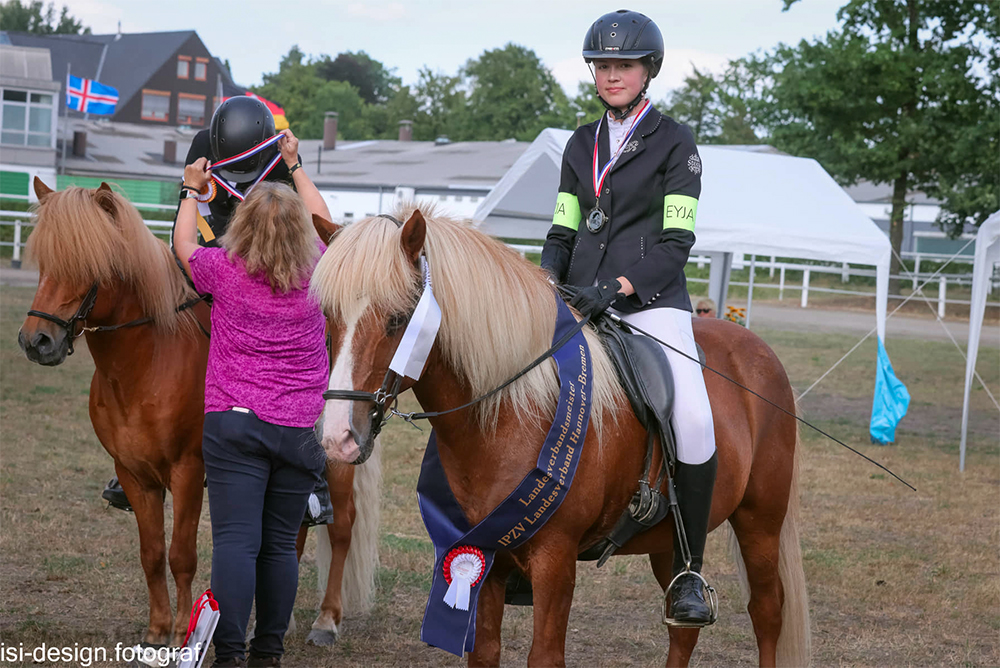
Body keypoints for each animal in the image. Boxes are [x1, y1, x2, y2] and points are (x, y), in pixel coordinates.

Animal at [18, 181, 378, 648]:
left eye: (89, 262)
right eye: (44, 261)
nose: (37, 341)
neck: (147, 362)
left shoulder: (188, 471)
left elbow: (181, 555)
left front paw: (180, 634)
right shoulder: (134, 474)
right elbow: (152, 553)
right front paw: (156, 629)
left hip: (337, 456)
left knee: (341, 527)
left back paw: (326, 620)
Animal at [316, 210, 808, 668]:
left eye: (398, 319)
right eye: (327, 316)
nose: (338, 438)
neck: (515, 410)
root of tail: (756, 348)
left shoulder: (555, 561)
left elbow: (545, 656)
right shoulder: (485, 554)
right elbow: (485, 651)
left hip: (760, 521)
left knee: (767, 612)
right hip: (670, 540)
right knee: (682, 629)